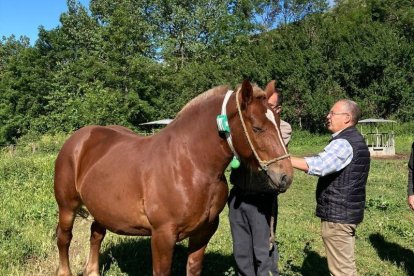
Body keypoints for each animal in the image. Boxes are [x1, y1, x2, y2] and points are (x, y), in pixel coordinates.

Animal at [55, 78, 292, 274]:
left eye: (279, 123)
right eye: (257, 127)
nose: (285, 176)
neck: (189, 165)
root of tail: (79, 138)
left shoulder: (203, 232)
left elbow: (193, 268)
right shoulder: (163, 236)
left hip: (101, 207)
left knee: (96, 235)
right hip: (67, 207)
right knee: (64, 238)